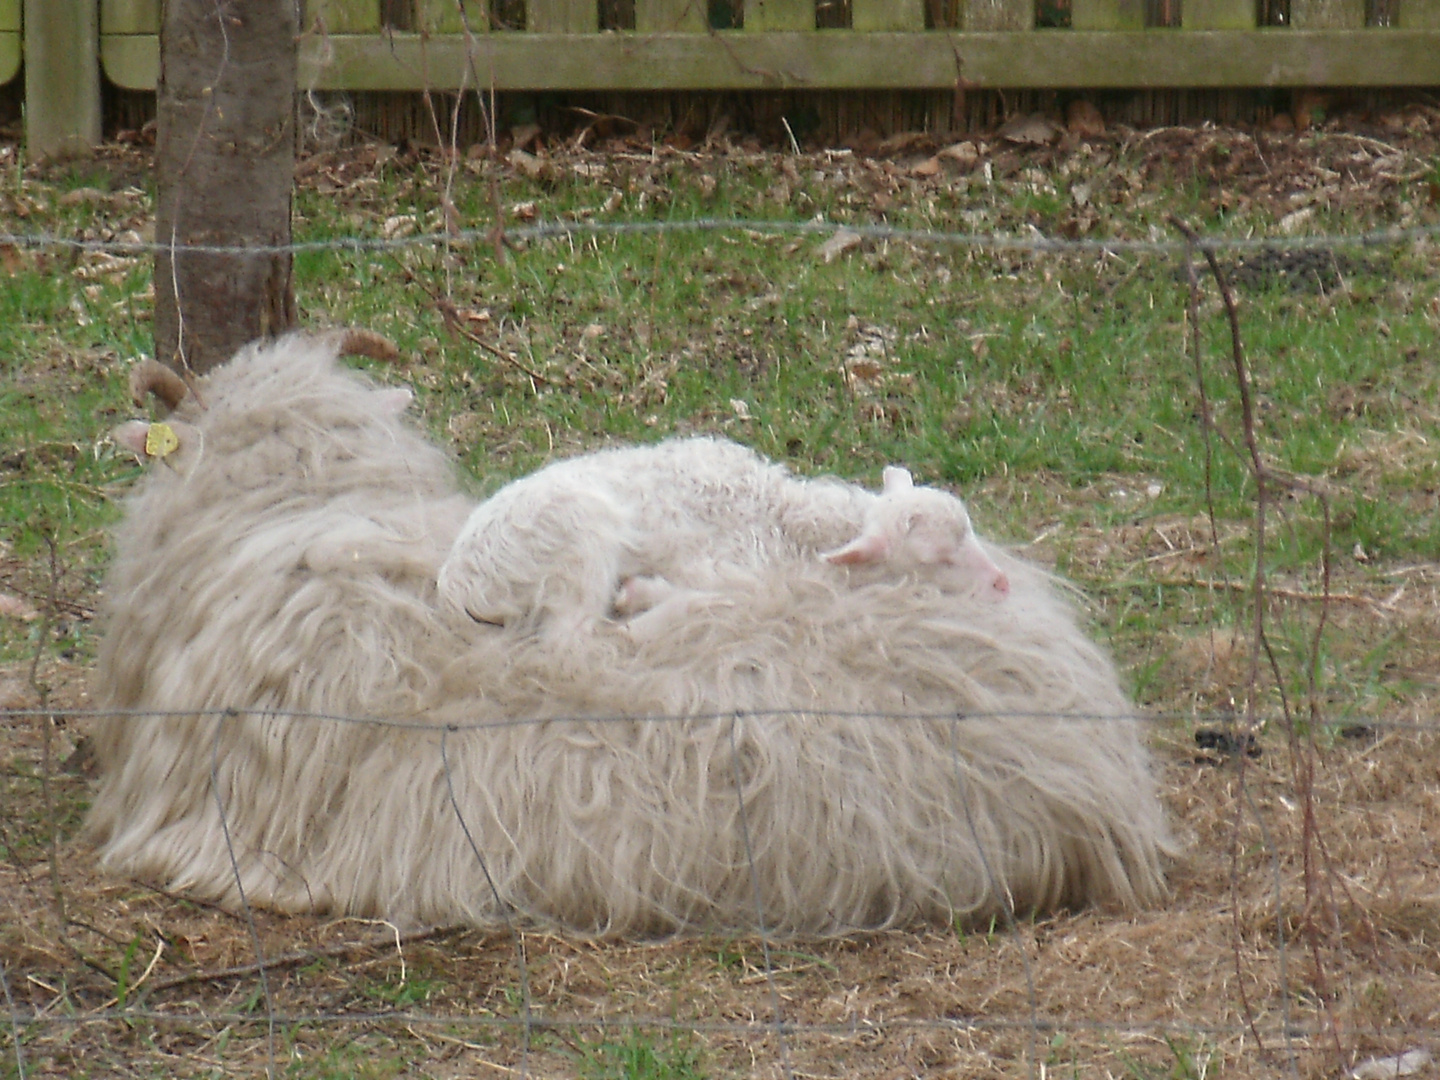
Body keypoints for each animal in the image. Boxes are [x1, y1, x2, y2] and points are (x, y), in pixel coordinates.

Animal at [437, 440, 1013, 642]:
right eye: (938, 558)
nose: (1002, 584)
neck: (790, 522)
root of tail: (458, 588)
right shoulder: (728, 568)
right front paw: (643, 599)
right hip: (581, 539)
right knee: (569, 642)